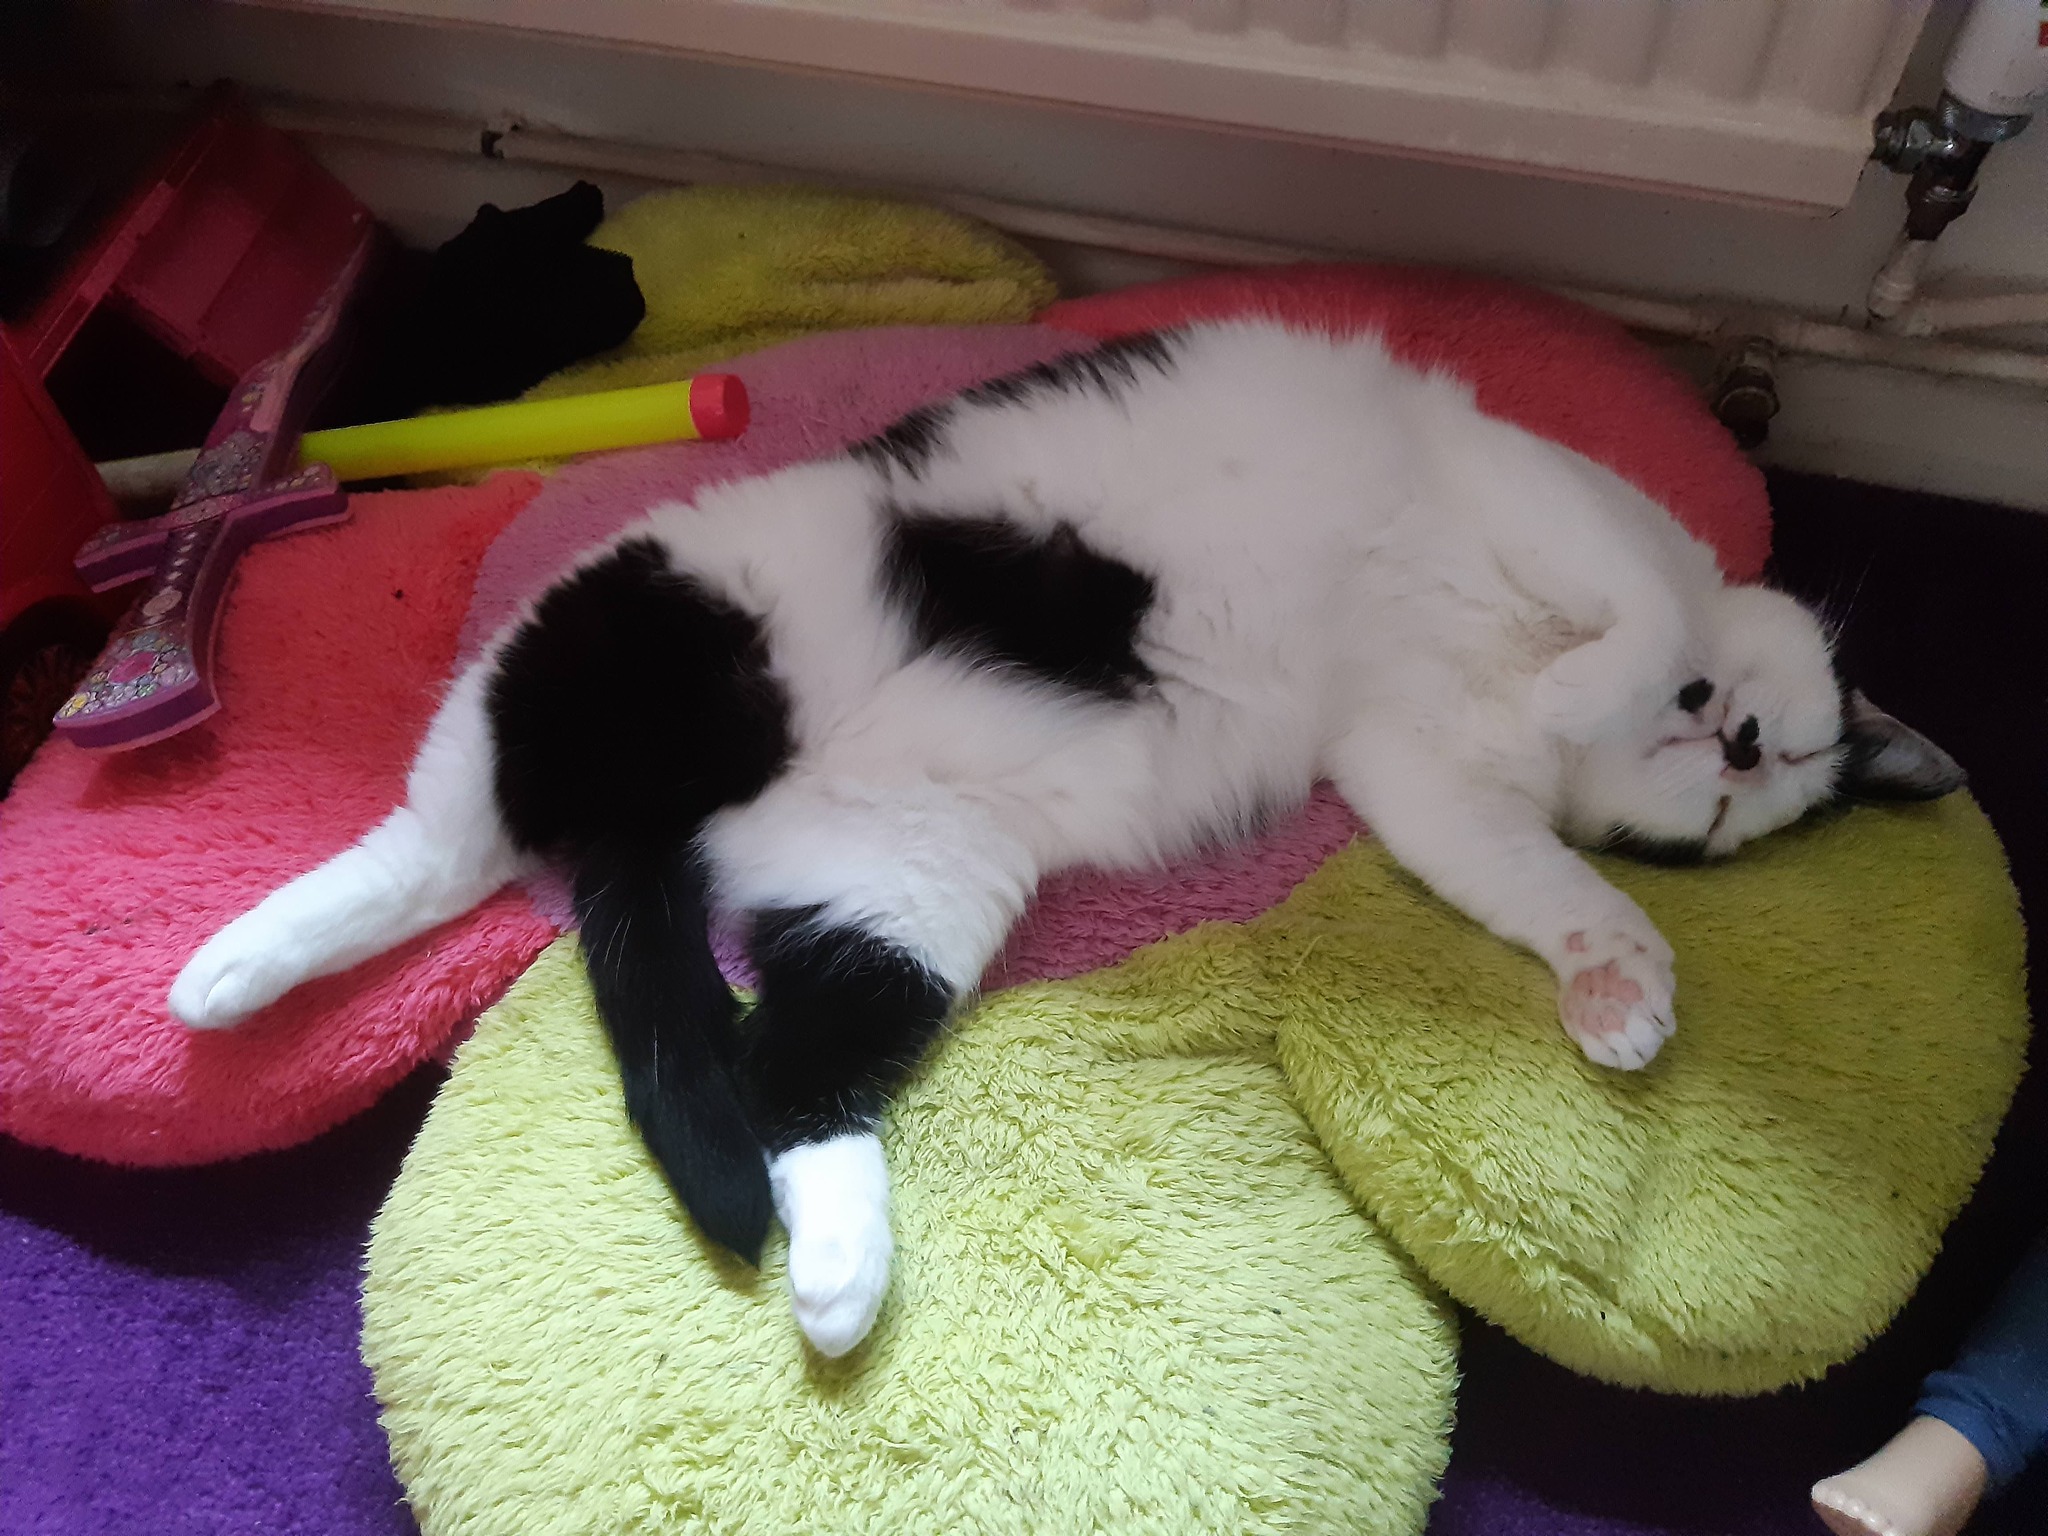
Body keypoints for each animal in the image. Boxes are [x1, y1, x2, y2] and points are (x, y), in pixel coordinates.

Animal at [169, 321, 1962, 1357]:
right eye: (1760, 749)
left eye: (1736, 805)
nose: (1725, 741)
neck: (1514, 695)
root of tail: (664, 817)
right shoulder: (1545, 506)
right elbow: (1637, 603)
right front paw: (1616, 673)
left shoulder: (1420, 777)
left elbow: (1539, 878)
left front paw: (1616, 983)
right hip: (631, 637)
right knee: (435, 837)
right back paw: (226, 968)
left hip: (913, 884)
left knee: (783, 1081)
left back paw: (839, 1281)